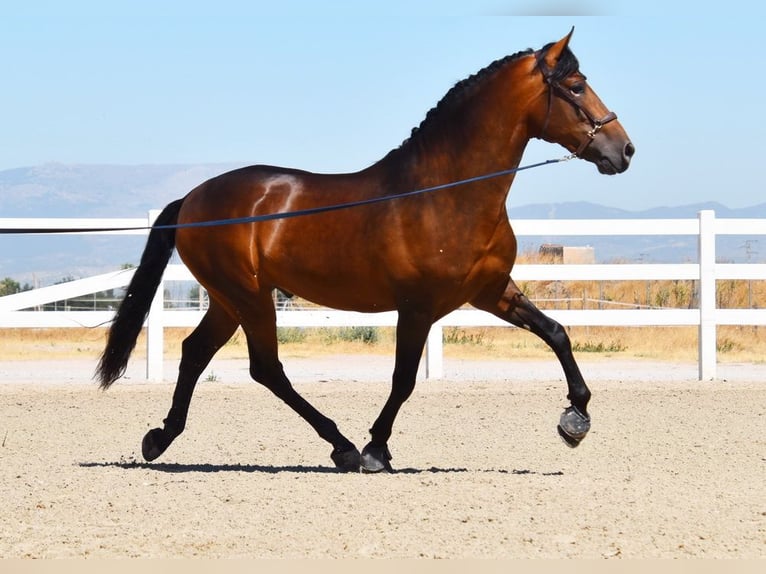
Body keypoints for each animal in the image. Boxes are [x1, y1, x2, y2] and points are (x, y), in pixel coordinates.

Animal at [96, 29, 636, 474]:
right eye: (575, 87)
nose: (624, 150)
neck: (447, 193)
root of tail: (192, 199)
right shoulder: (417, 308)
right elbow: (403, 380)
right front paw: (377, 448)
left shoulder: (491, 292)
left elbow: (557, 333)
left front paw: (575, 419)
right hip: (248, 297)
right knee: (265, 368)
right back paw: (342, 447)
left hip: (231, 300)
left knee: (195, 353)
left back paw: (160, 438)